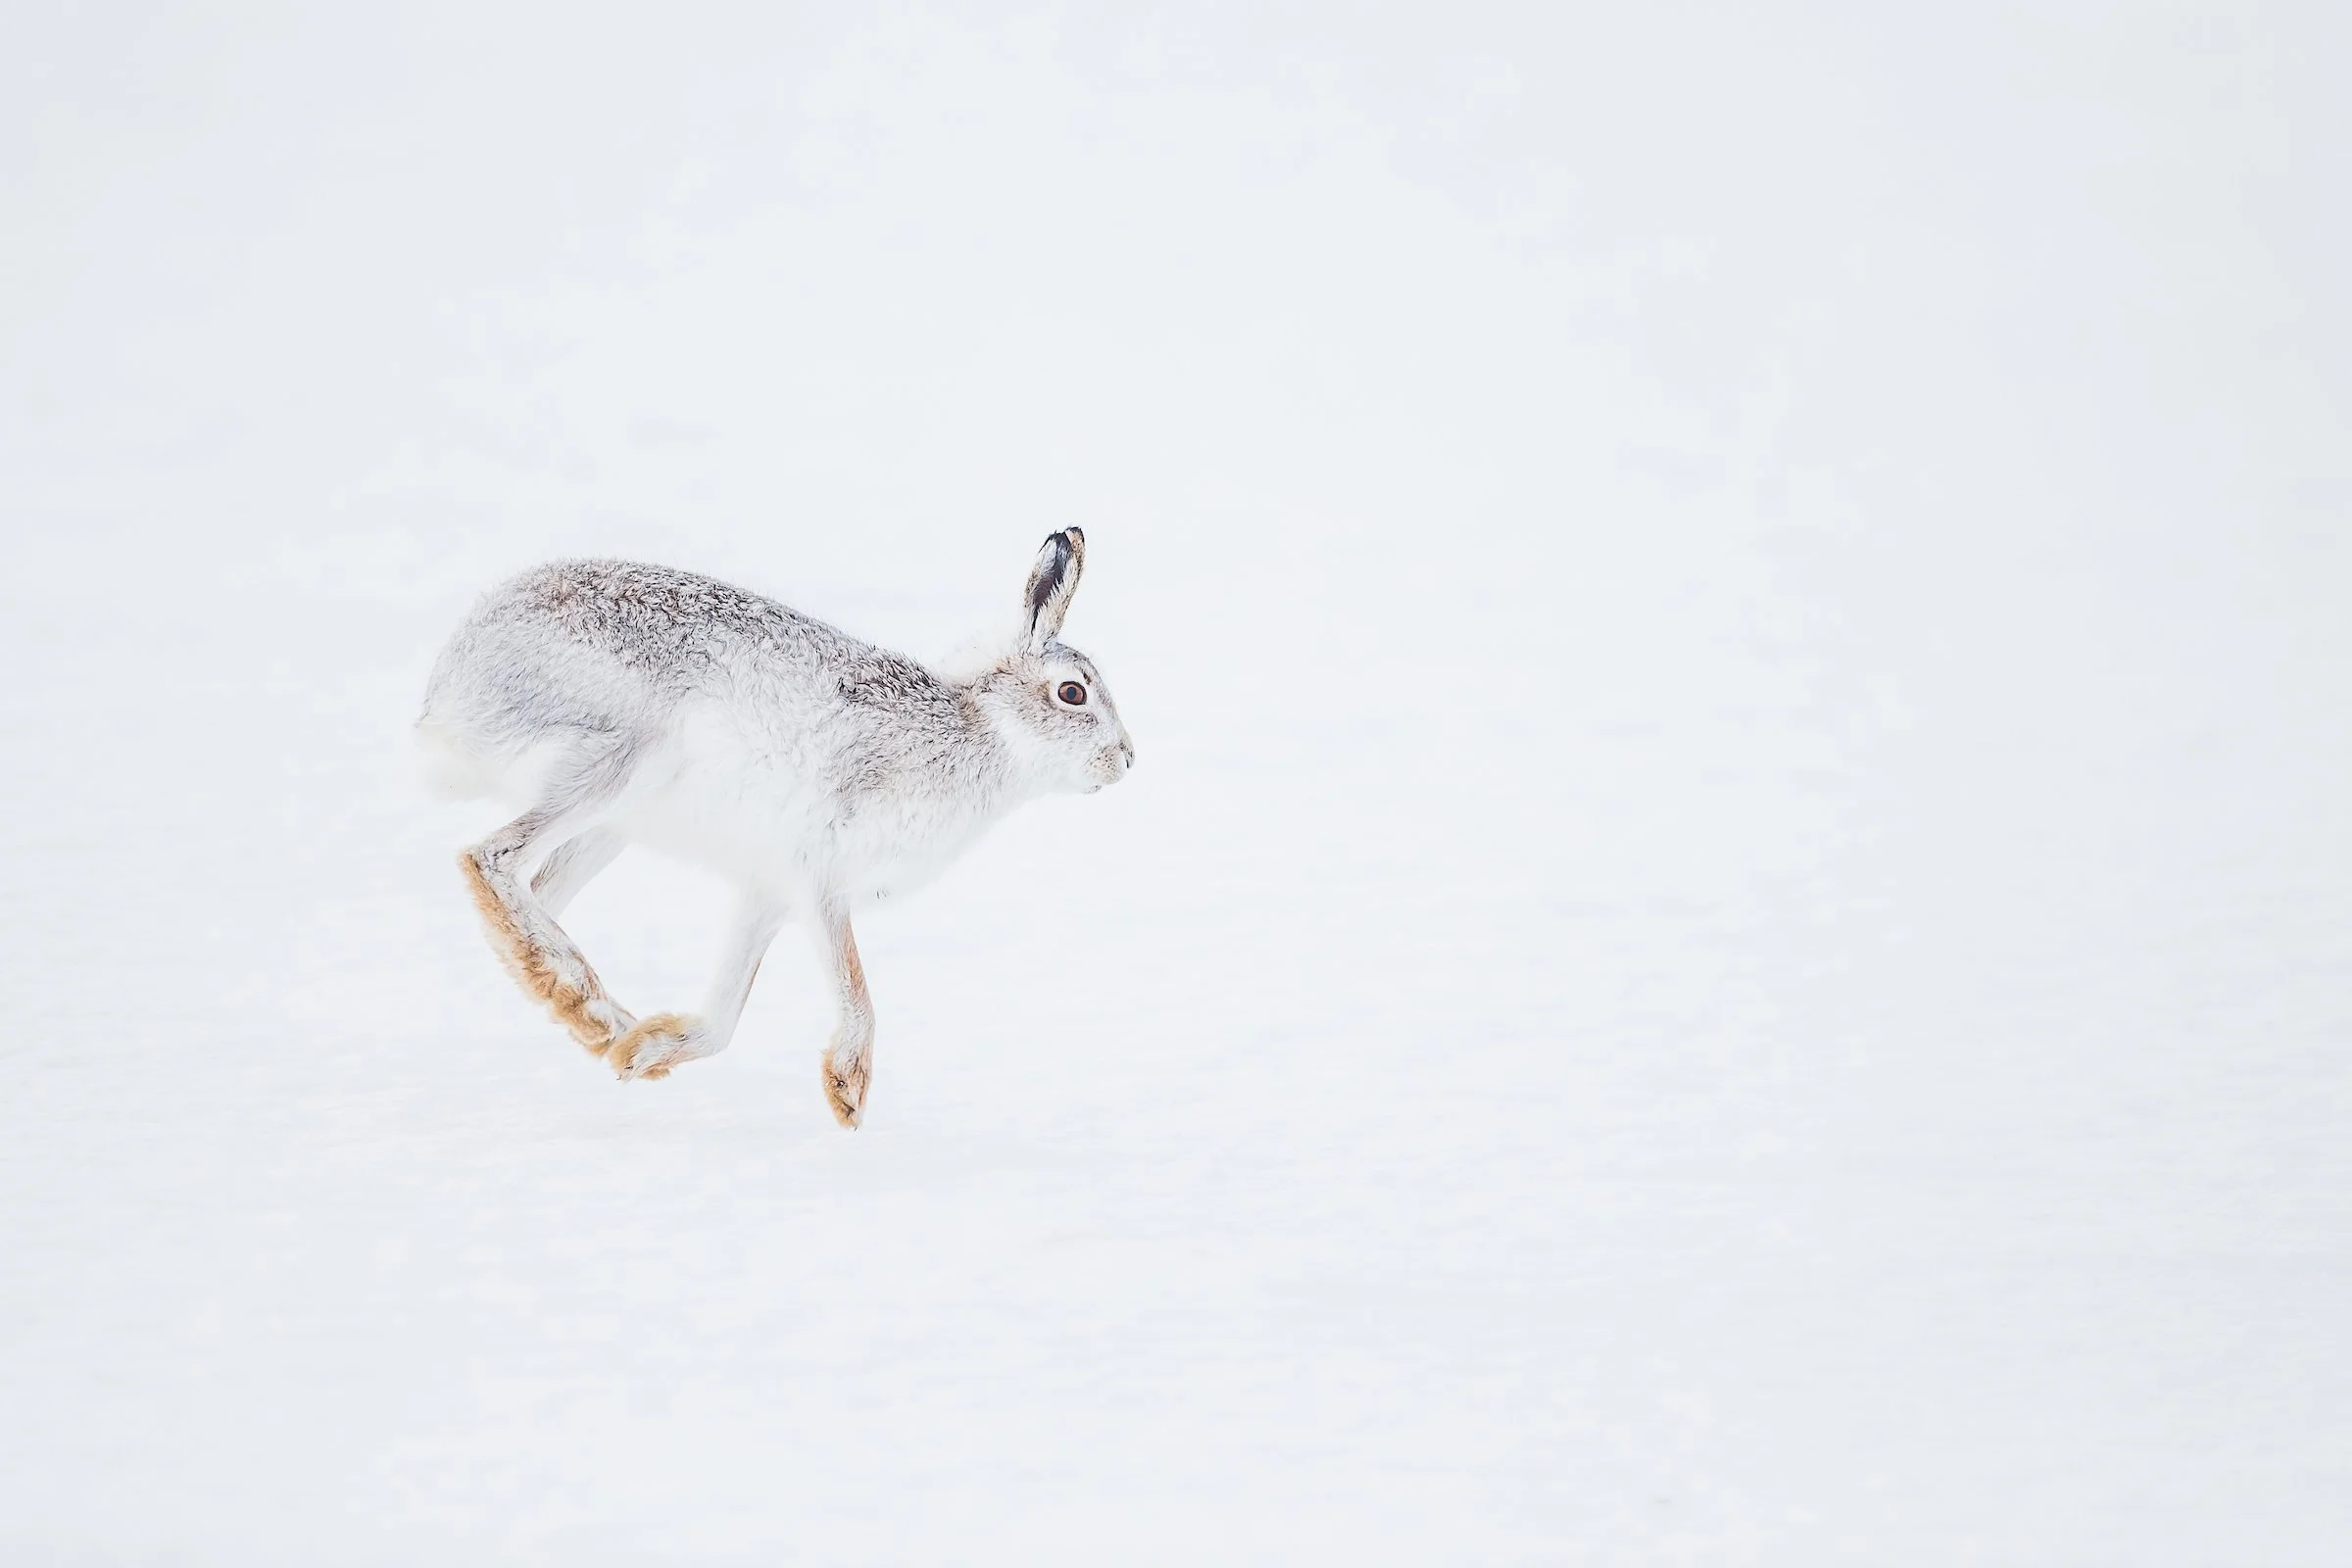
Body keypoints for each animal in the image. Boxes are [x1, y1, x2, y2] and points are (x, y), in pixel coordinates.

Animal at [415, 528, 1131, 1127]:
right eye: (1072, 693)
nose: (1126, 760)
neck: (983, 730)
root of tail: (449, 689)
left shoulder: (767, 895)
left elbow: (726, 1014)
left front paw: (646, 1054)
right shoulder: (820, 878)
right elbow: (856, 988)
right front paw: (849, 1090)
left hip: (612, 821)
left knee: (525, 898)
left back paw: (591, 1016)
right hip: (623, 761)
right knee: (489, 858)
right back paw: (584, 1000)